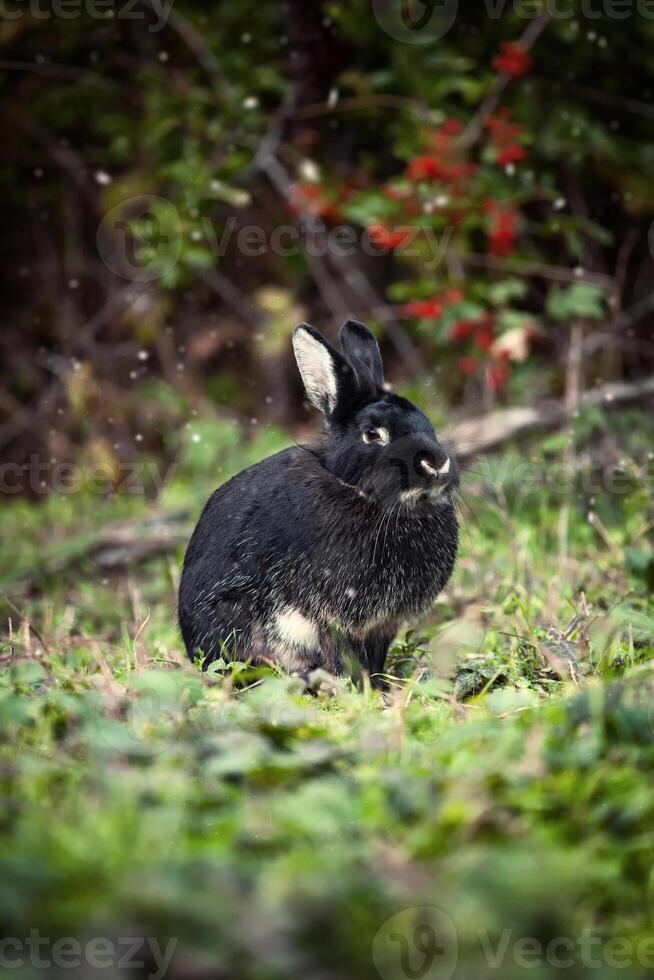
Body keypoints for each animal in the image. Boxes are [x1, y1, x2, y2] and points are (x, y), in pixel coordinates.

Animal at [177, 318, 458, 684]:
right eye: (373, 434)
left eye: (425, 421)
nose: (436, 463)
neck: (359, 492)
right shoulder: (330, 616)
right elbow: (339, 654)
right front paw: (355, 687)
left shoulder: (382, 626)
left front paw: (377, 686)